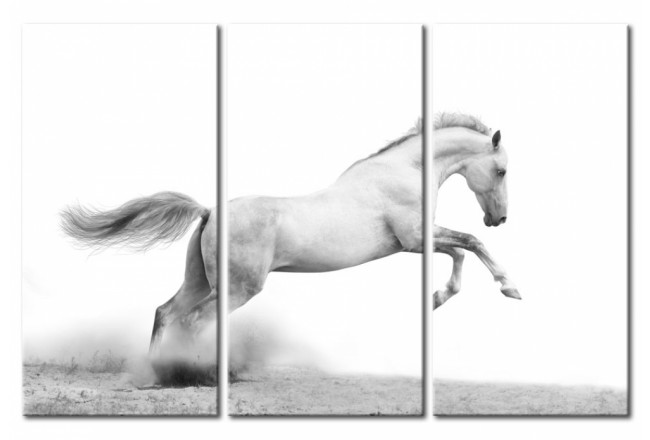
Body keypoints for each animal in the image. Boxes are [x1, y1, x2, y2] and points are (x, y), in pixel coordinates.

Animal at [60, 112, 519, 367]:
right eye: (501, 171)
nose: (499, 218)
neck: (404, 172)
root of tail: (209, 211)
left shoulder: (418, 242)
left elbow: (462, 251)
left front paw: (438, 298)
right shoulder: (415, 239)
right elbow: (470, 243)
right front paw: (510, 287)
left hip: (200, 281)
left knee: (166, 313)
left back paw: (157, 371)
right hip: (237, 288)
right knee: (194, 321)